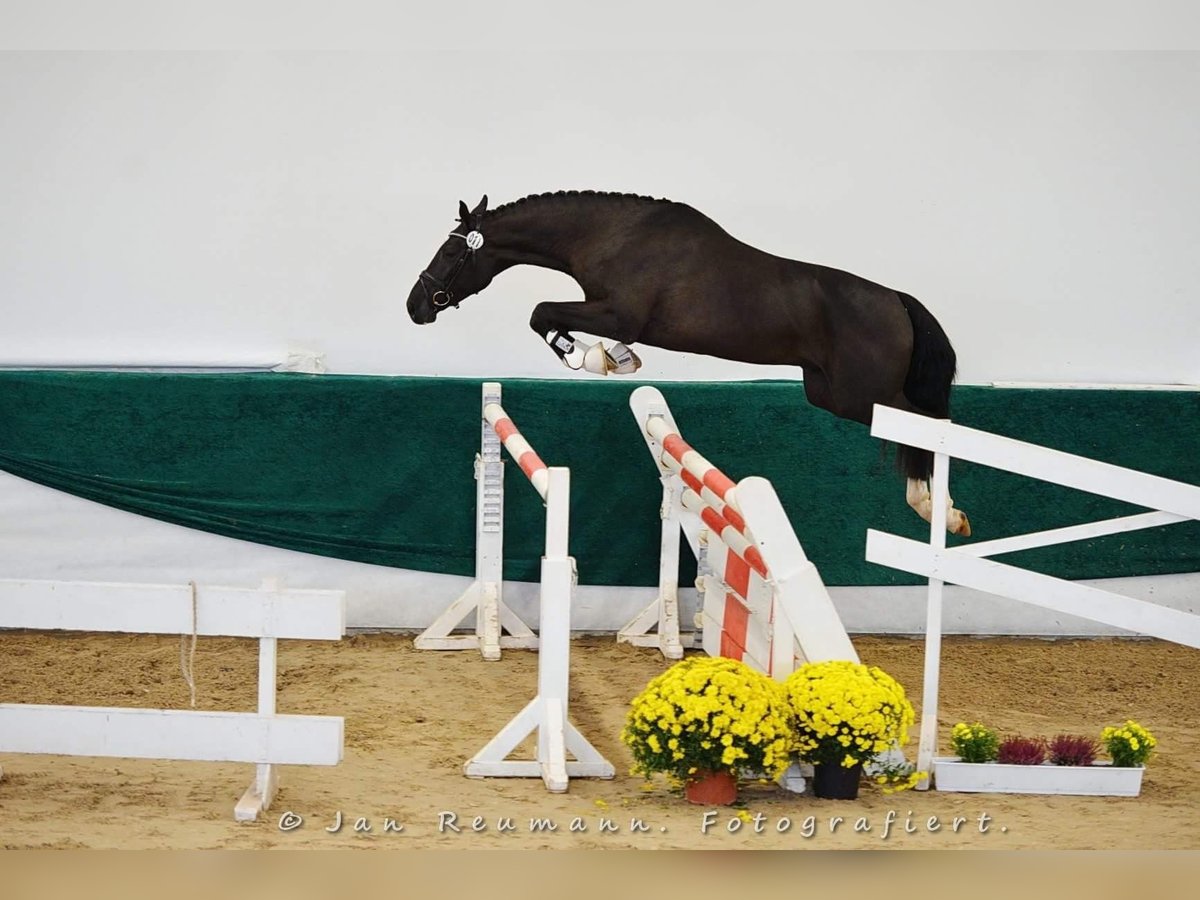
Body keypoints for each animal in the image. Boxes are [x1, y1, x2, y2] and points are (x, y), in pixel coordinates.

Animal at [408, 187, 969, 532]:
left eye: (449, 253)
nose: (416, 306)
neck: (611, 235)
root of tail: (896, 300)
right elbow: (550, 317)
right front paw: (616, 360)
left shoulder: (618, 313)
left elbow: (541, 312)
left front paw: (597, 359)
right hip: (827, 393)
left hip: (864, 394)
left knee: (928, 425)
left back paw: (935, 510)